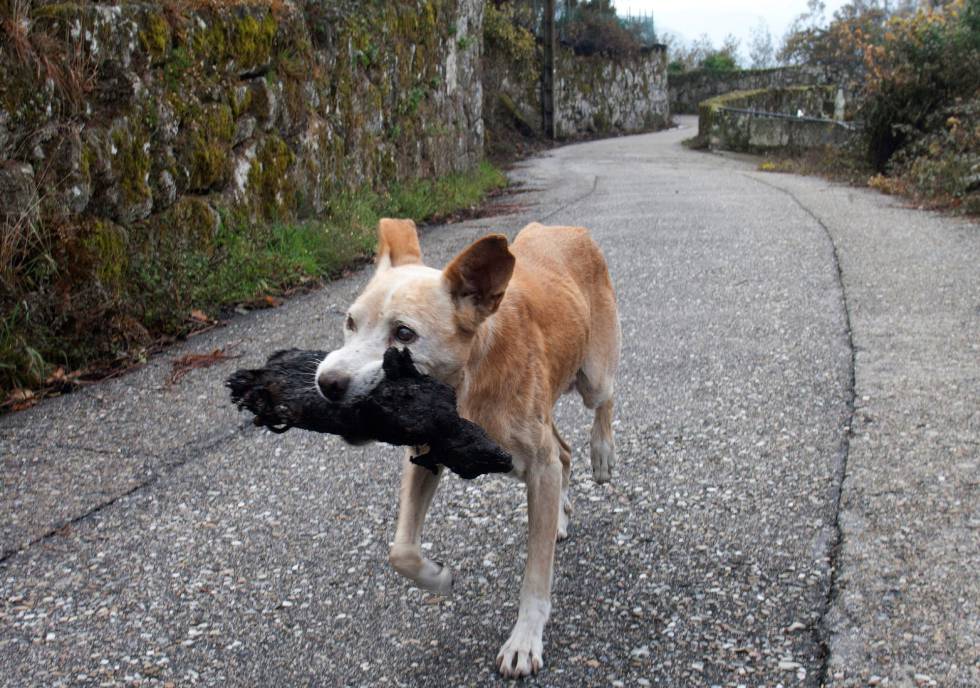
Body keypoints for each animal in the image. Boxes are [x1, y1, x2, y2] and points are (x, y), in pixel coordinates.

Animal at [316, 219, 620, 676]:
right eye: (350, 323)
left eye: (403, 334)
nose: (327, 383)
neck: (468, 381)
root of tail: (566, 229)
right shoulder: (424, 455)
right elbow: (401, 551)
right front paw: (438, 577)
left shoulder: (539, 466)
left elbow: (536, 575)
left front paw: (524, 640)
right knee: (564, 453)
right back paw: (561, 517)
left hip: (593, 375)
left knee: (604, 400)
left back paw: (601, 452)